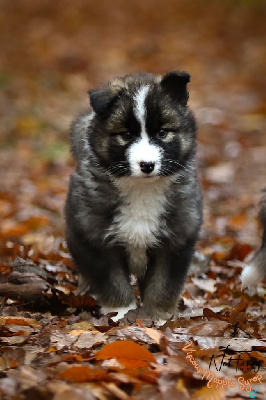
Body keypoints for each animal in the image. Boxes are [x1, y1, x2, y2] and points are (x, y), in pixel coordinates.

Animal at [65, 70, 203, 318]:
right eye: (126, 135)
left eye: (162, 132)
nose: (147, 165)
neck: (141, 190)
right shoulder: (95, 242)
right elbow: (113, 283)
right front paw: (121, 314)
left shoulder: (175, 244)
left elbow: (163, 287)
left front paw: (159, 318)